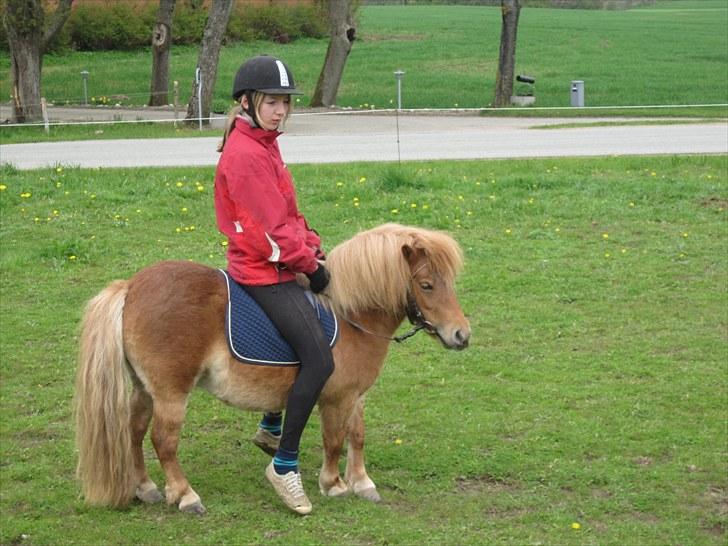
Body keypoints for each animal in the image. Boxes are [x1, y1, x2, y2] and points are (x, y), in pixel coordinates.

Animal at [74, 222, 471, 515]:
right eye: (426, 285)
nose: (461, 335)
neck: (350, 314)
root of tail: (131, 287)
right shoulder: (335, 398)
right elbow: (334, 439)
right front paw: (333, 484)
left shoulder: (354, 395)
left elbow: (357, 435)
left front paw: (362, 482)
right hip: (171, 392)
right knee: (164, 441)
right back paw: (186, 495)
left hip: (144, 388)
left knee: (135, 431)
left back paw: (145, 487)